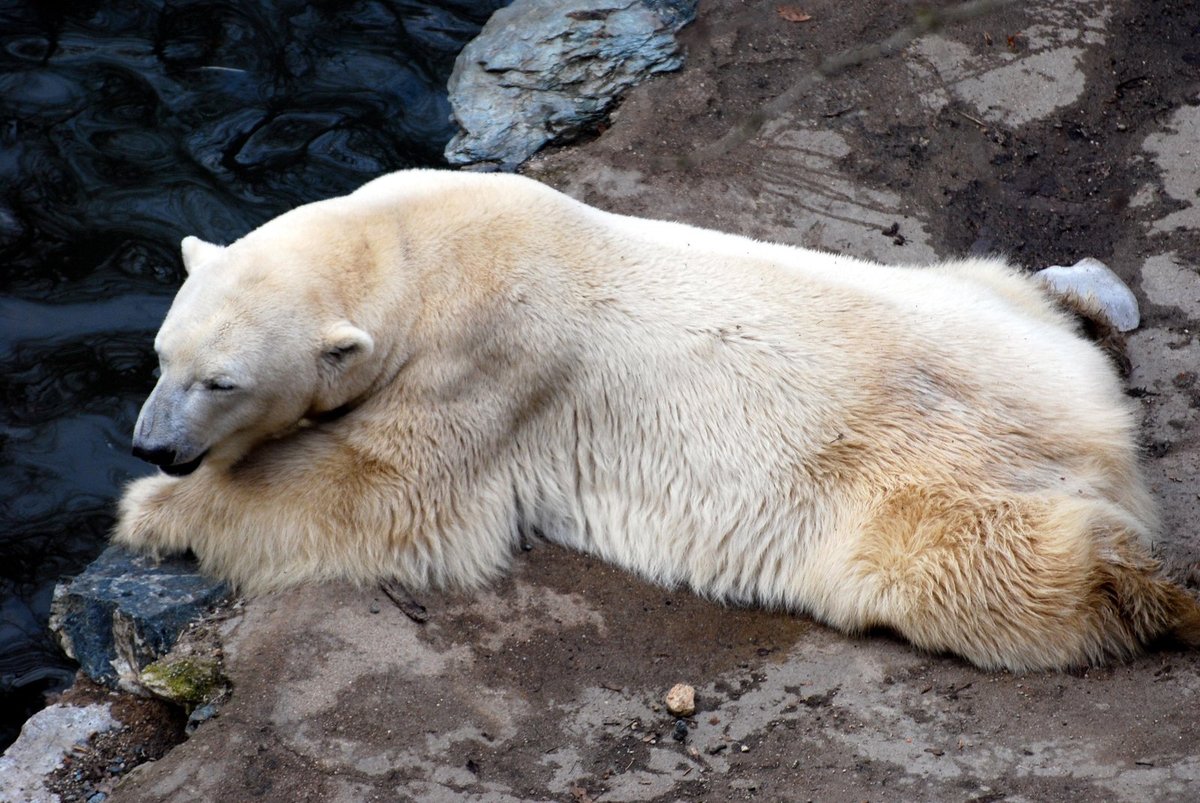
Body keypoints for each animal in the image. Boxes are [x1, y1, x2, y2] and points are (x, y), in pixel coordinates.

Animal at [119, 169, 1200, 672]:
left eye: (221, 381)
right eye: (160, 357)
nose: (154, 445)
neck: (414, 246)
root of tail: (1092, 430)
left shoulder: (488, 356)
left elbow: (384, 495)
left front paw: (150, 514)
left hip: (915, 474)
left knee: (986, 568)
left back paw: (1155, 594)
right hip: (974, 301)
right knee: (1001, 278)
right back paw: (1086, 301)